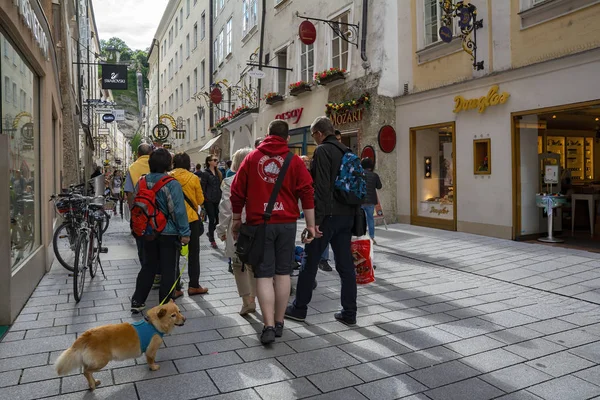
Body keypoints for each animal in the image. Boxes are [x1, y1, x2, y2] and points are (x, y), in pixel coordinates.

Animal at [54, 302, 185, 390]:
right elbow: (151, 359)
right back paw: (92, 385)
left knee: (87, 371)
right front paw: (153, 367)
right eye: (173, 315)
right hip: (101, 361)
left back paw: (93, 382)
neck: (152, 324)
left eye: (179, 311)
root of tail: (87, 335)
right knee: (86, 372)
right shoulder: (151, 350)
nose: (185, 319)